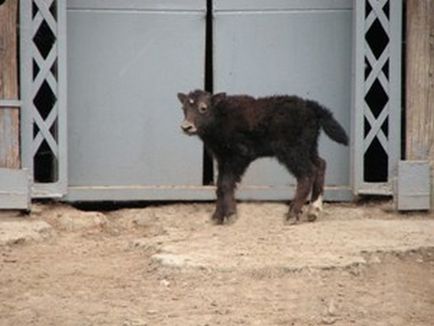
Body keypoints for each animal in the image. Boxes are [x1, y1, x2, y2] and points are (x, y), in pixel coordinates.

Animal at [177, 90, 350, 225]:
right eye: (184, 108)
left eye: (203, 108)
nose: (186, 127)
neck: (221, 115)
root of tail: (310, 106)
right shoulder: (222, 159)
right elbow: (220, 185)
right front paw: (217, 217)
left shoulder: (238, 156)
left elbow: (226, 184)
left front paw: (231, 215)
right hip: (309, 148)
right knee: (320, 164)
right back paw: (314, 211)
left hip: (293, 152)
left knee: (307, 174)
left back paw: (292, 215)